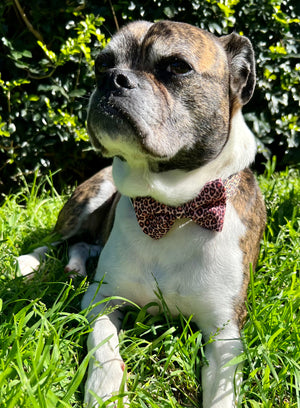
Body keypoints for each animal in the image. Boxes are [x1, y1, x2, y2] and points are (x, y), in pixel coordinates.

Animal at [17, 19, 264, 408]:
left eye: (177, 66)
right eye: (102, 63)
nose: (111, 78)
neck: (171, 208)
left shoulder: (225, 333)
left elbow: (222, 391)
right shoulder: (101, 301)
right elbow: (104, 350)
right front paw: (104, 391)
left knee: (83, 245)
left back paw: (75, 267)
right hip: (91, 200)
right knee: (58, 241)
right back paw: (33, 264)